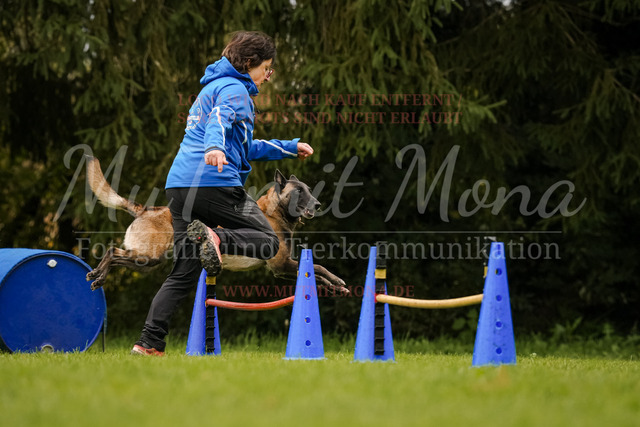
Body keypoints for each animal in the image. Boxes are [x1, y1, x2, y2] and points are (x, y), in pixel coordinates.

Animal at [84, 156, 348, 294]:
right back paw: (98, 274)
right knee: (112, 252)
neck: (276, 212)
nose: (317, 204)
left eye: (309, 190)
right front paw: (337, 282)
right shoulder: (281, 266)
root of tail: (146, 209)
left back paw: (98, 277)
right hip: (148, 256)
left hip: (146, 260)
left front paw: (335, 287)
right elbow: (320, 269)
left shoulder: (284, 268)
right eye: (299, 192)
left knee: (115, 256)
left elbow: (316, 273)